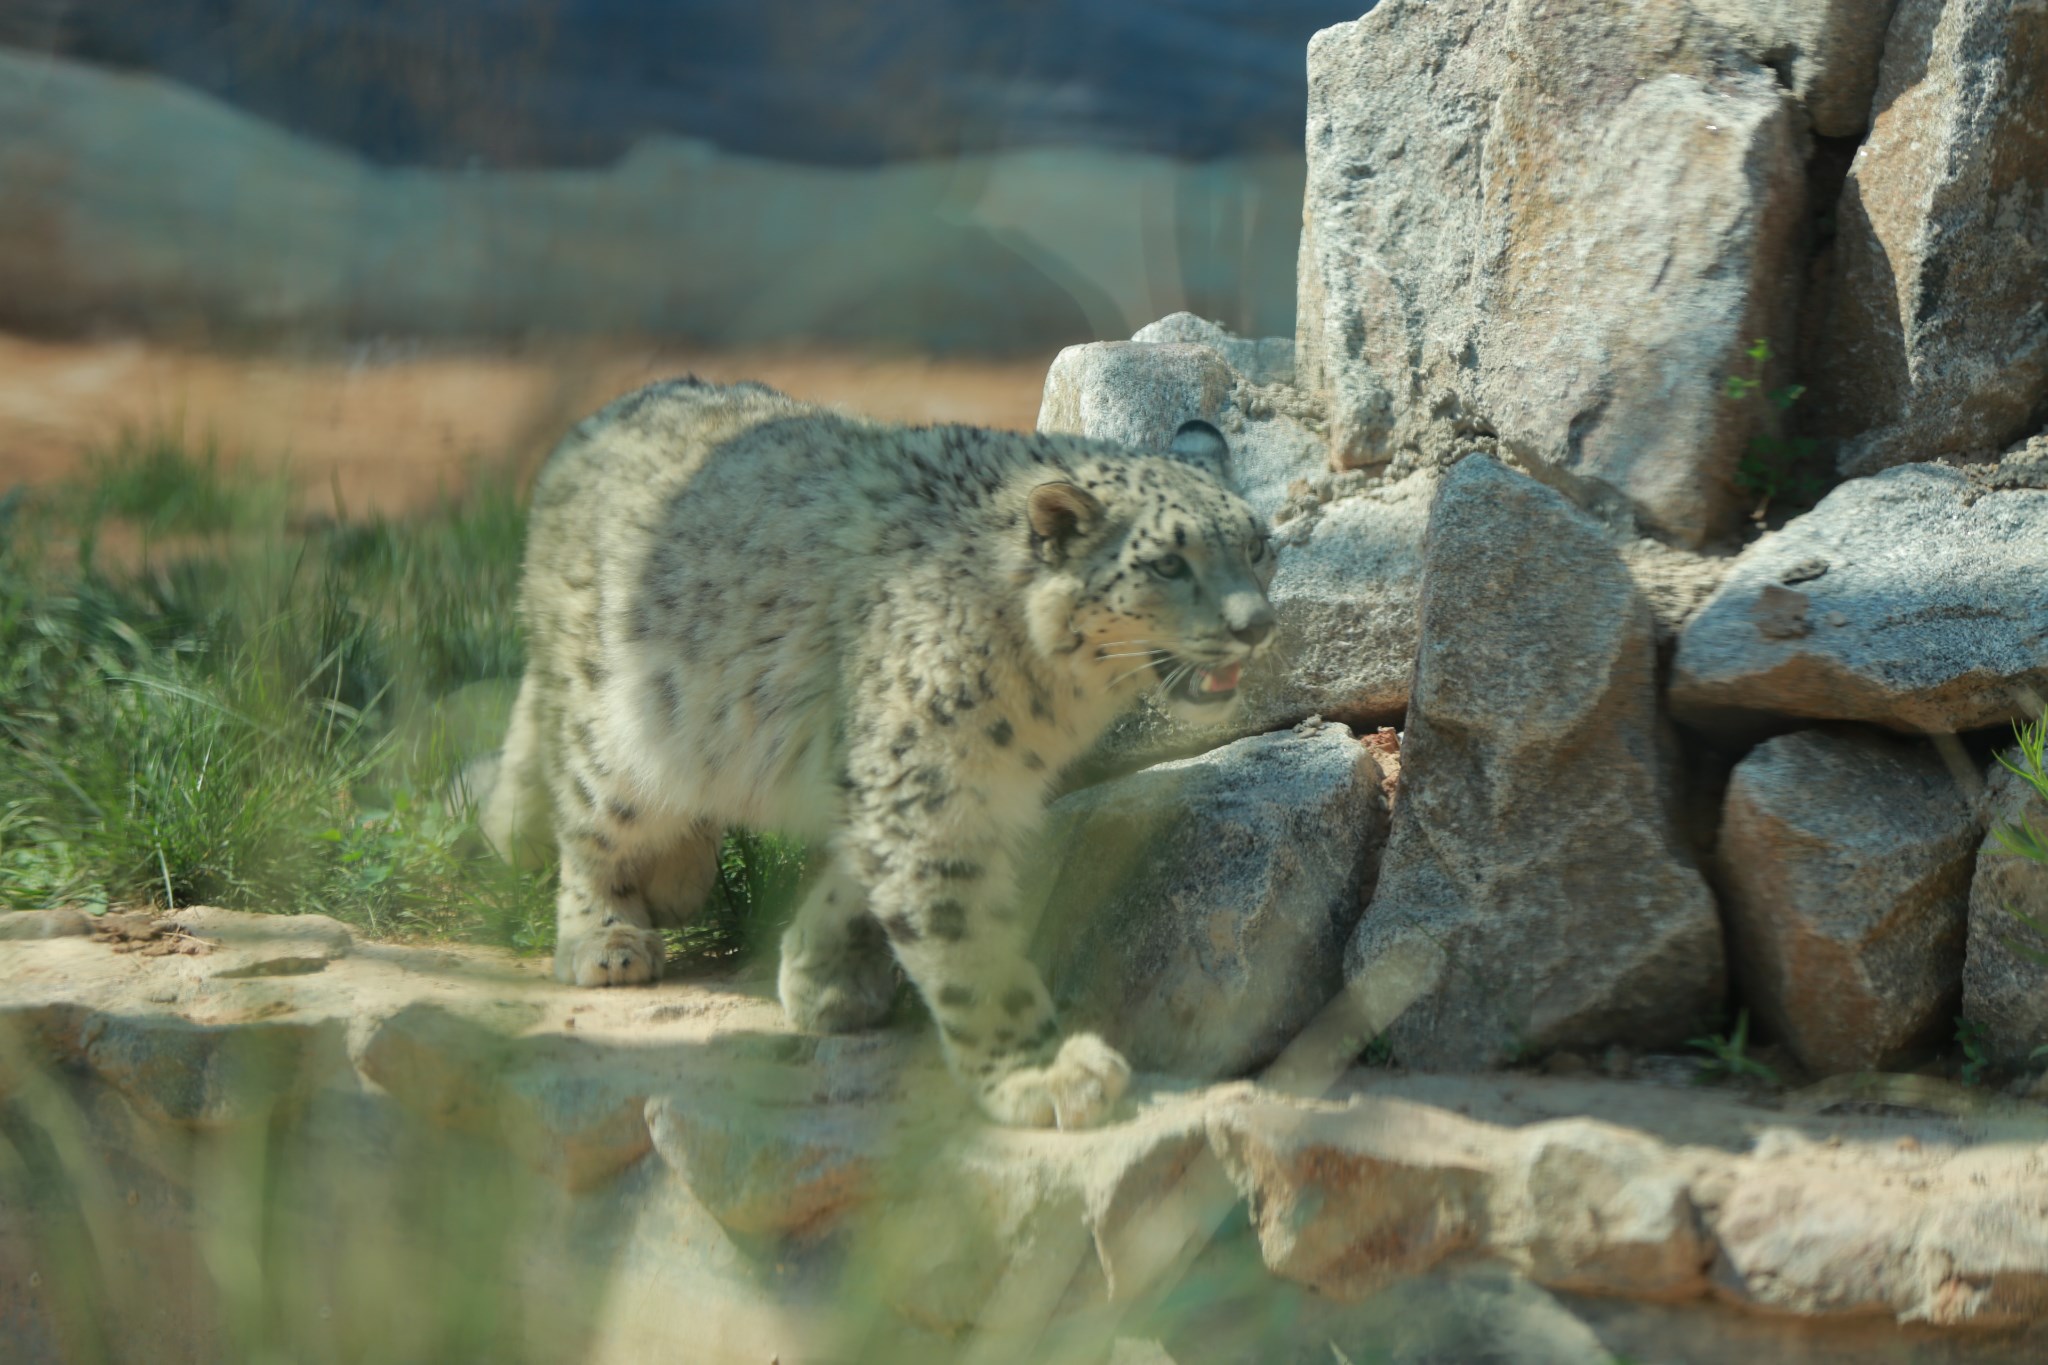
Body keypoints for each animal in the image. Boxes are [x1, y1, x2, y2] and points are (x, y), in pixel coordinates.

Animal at [485, 376, 1269, 1129]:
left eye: (1258, 545)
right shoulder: (925, 781)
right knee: (589, 818)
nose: (1256, 622)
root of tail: (585, 432)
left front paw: (823, 978)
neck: (1050, 707)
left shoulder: (938, 785)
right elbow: (966, 944)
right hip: (620, 729)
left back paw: (680, 875)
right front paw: (1040, 1074)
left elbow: (861, 881)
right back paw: (608, 937)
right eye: (1167, 563)